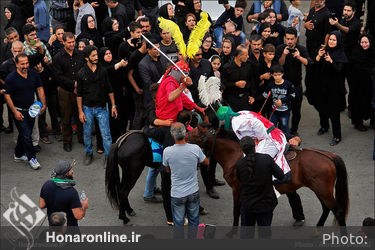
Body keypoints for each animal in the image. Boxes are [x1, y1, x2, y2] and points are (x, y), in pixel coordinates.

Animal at [197, 131, 350, 230]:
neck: (235, 155)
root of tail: (330, 156)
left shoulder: (237, 188)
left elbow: (237, 211)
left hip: (322, 190)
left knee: (338, 211)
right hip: (320, 190)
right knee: (326, 208)